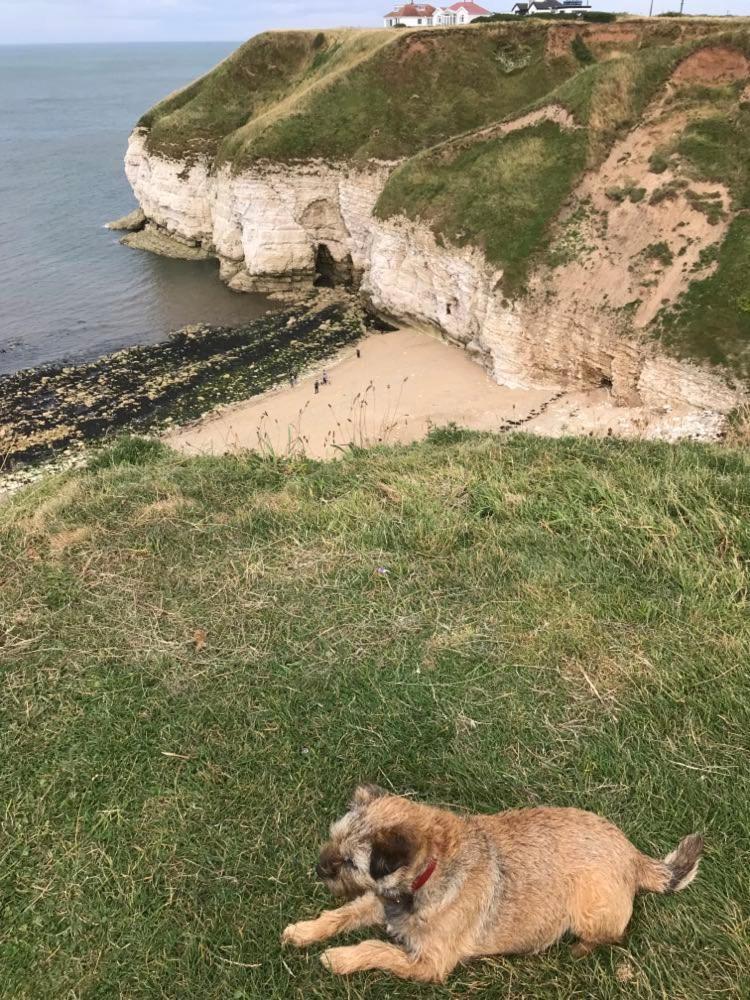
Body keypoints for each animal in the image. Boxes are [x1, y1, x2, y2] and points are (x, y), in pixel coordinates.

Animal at [282, 784, 704, 980]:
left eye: (350, 863)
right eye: (333, 838)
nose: (319, 867)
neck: (432, 870)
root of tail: (632, 854)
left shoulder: (429, 963)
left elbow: (376, 948)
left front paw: (341, 957)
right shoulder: (380, 899)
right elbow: (341, 914)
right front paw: (305, 931)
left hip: (589, 909)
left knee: (610, 935)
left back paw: (579, 948)